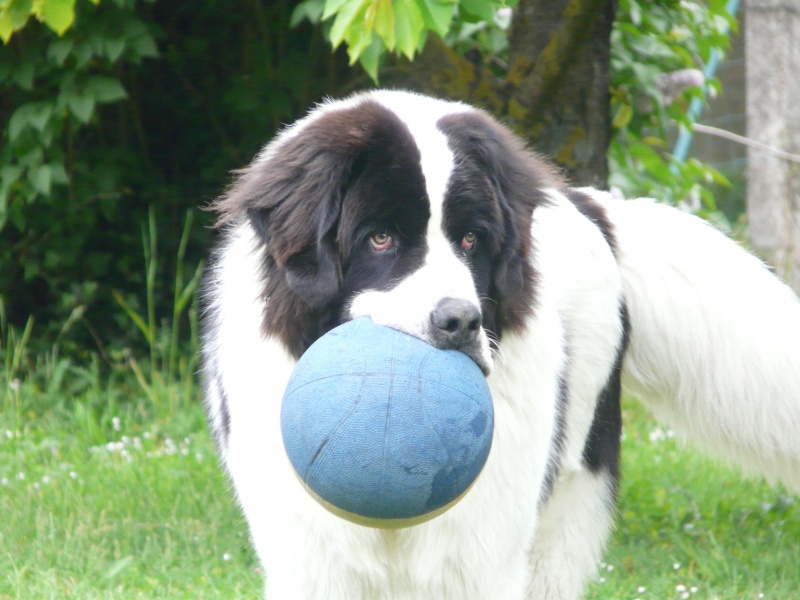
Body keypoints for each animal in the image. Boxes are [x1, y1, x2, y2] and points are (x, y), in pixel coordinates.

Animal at [202, 90, 800, 600]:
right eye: (380, 238)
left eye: (472, 240)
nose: (460, 321)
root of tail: (588, 203)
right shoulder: (311, 556)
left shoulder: (483, 550)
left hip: (571, 486)